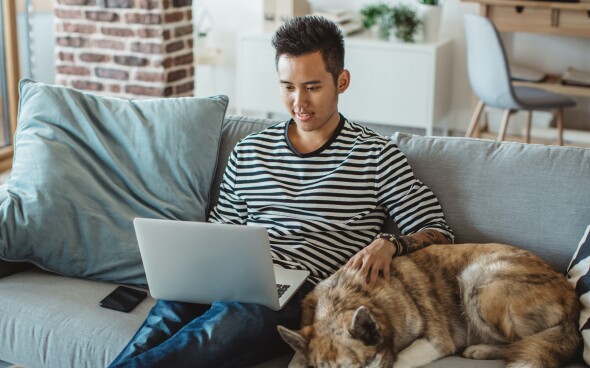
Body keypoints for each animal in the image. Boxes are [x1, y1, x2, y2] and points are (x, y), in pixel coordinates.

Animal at [278, 244, 584, 368]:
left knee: (520, 342)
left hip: (478, 280)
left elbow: (399, 360)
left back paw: (479, 349)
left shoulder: (436, 341)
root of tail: (571, 298)